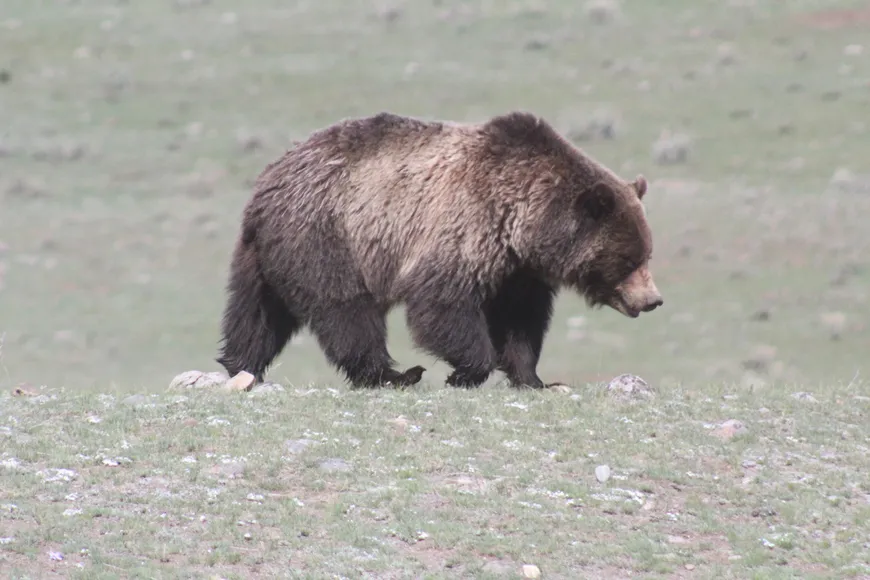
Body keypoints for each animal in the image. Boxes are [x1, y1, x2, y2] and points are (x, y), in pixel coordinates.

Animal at [216, 110, 663, 390]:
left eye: (646, 254)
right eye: (629, 258)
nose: (653, 300)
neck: (522, 221)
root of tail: (271, 176)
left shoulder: (517, 272)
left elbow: (520, 323)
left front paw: (535, 378)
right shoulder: (465, 228)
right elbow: (441, 305)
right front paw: (464, 373)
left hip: (266, 254)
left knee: (255, 314)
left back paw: (240, 365)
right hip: (328, 235)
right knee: (347, 311)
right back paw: (396, 375)